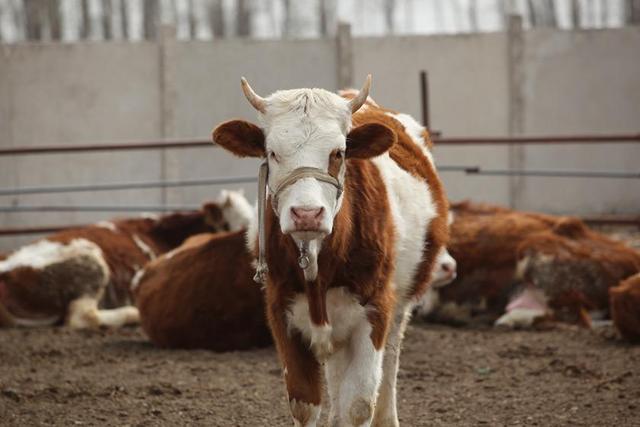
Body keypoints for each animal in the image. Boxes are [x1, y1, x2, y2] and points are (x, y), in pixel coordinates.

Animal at [212, 77, 448, 427]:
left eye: (338, 153)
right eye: (272, 152)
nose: (307, 214)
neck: (318, 263)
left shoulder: (375, 310)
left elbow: (359, 403)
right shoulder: (281, 312)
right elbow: (305, 403)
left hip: (401, 302)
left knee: (390, 360)